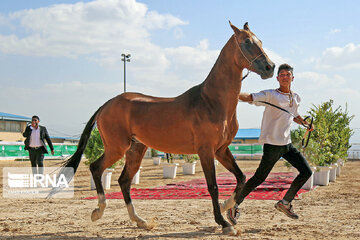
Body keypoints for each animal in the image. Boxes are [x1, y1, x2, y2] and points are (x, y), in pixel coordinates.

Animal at [53, 21, 274, 235]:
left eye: (261, 41)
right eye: (247, 42)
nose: (269, 67)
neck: (211, 101)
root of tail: (107, 104)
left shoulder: (221, 150)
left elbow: (241, 177)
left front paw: (227, 207)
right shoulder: (206, 151)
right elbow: (213, 186)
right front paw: (224, 223)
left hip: (136, 149)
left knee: (124, 181)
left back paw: (140, 221)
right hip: (117, 148)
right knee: (96, 168)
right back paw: (98, 211)